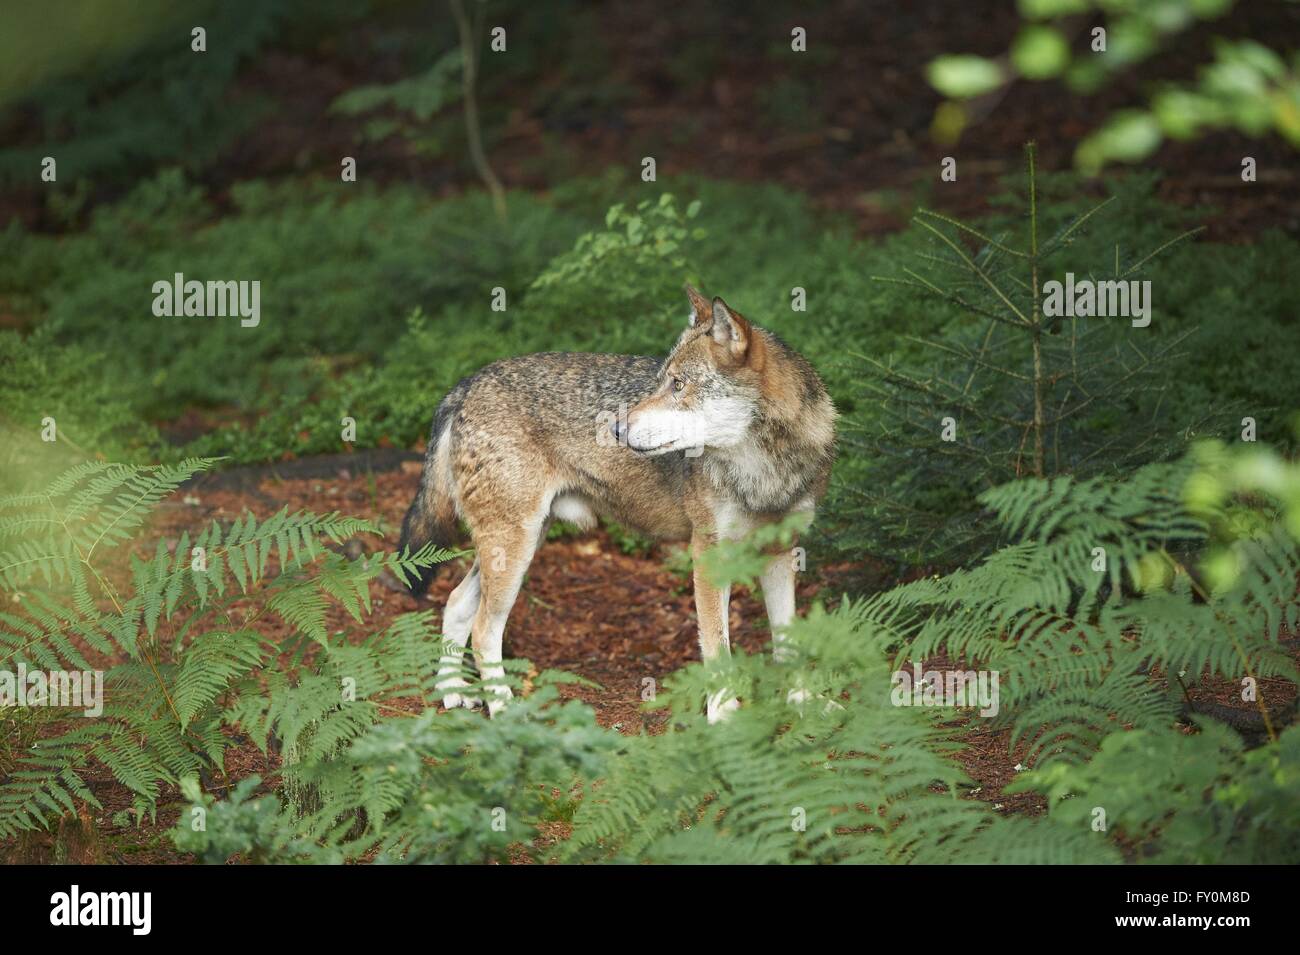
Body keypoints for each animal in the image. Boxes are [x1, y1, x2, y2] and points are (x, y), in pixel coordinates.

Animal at [395, 287, 837, 722]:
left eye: (678, 385)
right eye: (662, 382)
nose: (616, 429)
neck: (765, 469)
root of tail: (467, 382)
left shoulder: (781, 552)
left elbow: (790, 641)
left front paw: (803, 702)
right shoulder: (708, 552)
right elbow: (716, 647)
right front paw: (725, 718)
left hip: (521, 544)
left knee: (455, 604)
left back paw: (454, 695)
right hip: (514, 549)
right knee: (483, 628)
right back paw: (503, 709)